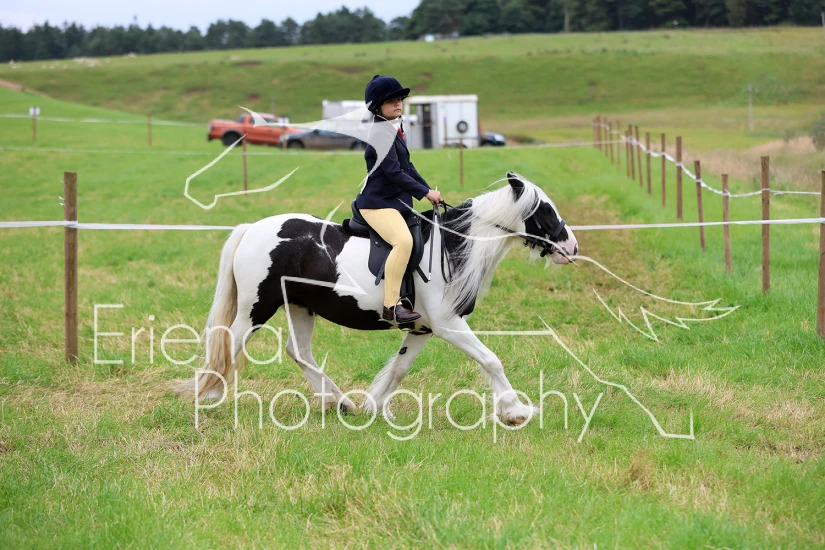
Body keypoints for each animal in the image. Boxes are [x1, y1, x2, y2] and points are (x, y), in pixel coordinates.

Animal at [176, 172, 578, 425]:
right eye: (544, 209)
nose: (572, 247)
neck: (451, 247)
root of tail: (251, 230)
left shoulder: (422, 328)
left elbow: (399, 369)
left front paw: (374, 407)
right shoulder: (448, 325)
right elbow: (491, 360)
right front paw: (515, 412)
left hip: (301, 307)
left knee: (298, 352)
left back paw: (339, 402)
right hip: (257, 307)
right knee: (228, 344)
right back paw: (207, 397)